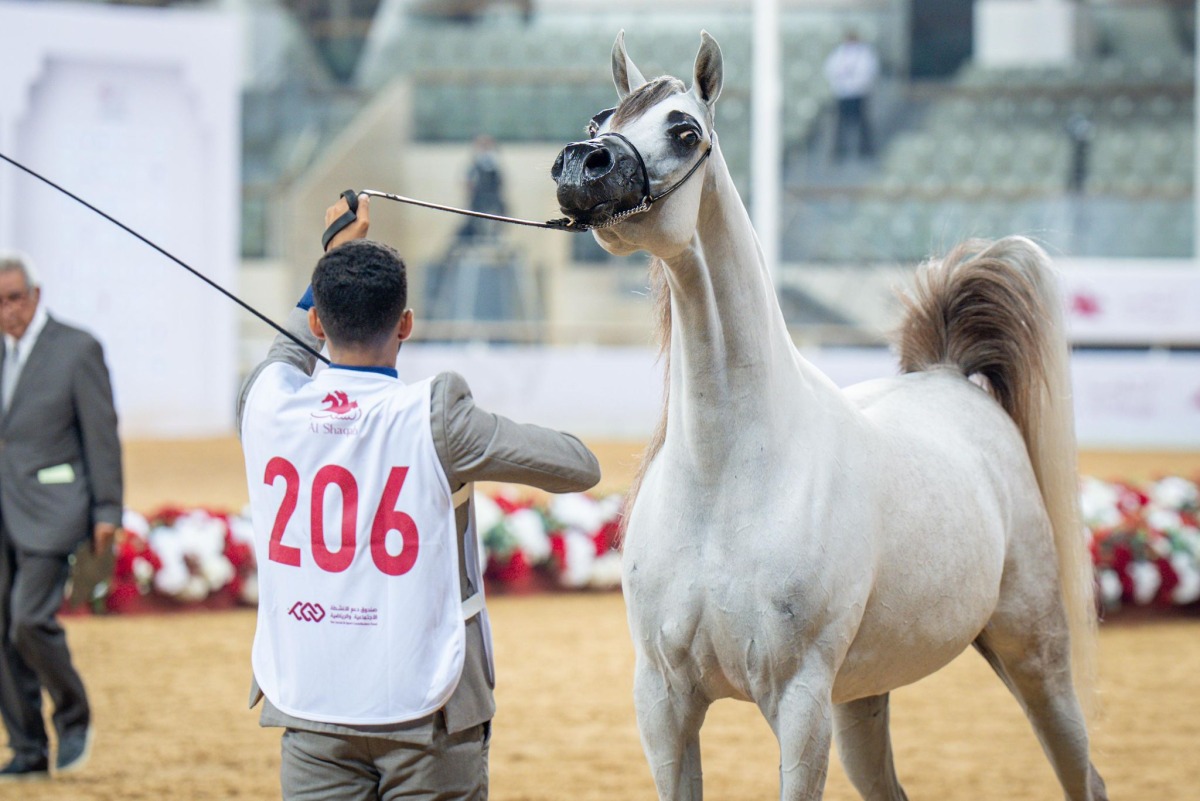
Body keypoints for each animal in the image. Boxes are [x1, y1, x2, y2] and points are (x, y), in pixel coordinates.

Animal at [551, 31, 1107, 801]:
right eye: (600, 120)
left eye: (685, 130)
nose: (583, 164)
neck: (728, 475)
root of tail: (950, 378)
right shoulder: (662, 702)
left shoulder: (800, 700)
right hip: (864, 694)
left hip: (1034, 653)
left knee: (1085, 774)